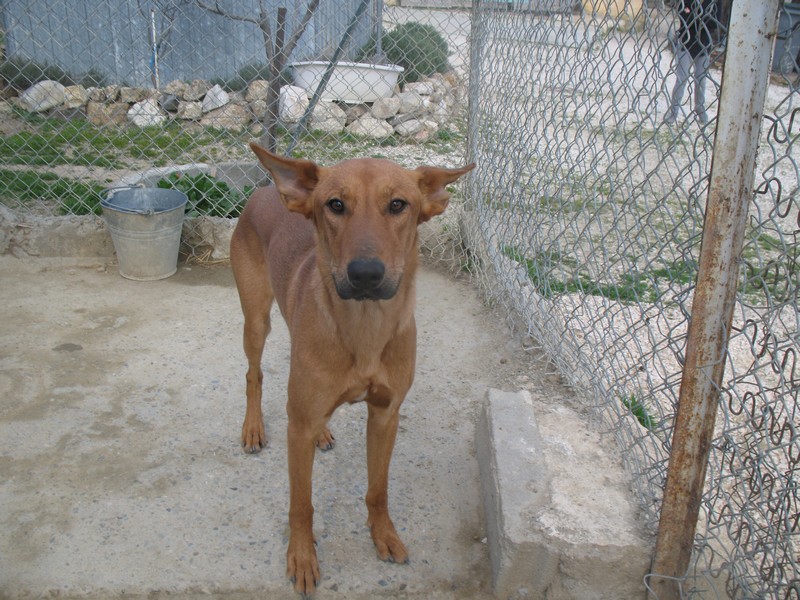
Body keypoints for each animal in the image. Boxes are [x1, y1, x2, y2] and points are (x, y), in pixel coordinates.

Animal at [228, 142, 476, 596]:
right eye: (335, 205)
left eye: (398, 205)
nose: (365, 274)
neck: (365, 331)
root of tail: (267, 189)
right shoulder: (298, 429)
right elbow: (302, 504)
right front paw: (302, 557)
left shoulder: (386, 415)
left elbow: (378, 490)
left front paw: (385, 536)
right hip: (256, 320)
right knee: (254, 374)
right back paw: (253, 427)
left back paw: (322, 432)